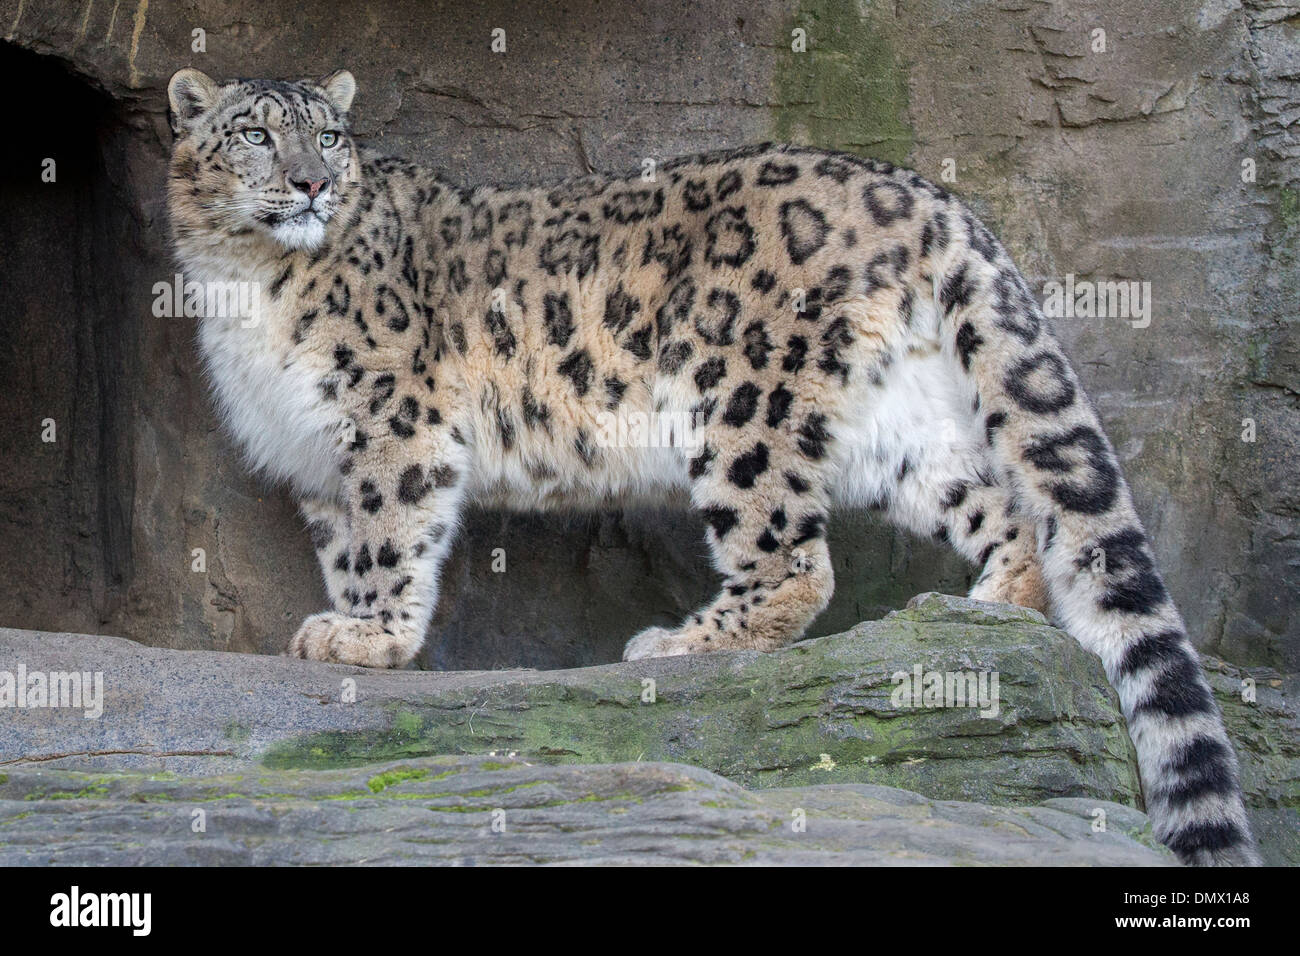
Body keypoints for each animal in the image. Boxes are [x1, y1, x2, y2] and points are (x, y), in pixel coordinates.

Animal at [165, 68, 1258, 865]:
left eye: (330, 138)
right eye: (256, 134)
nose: (312, 183)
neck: (244, 281)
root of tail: (924, 192)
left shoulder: (394, 419)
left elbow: (392, 531)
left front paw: (372, 639)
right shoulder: (313, 451)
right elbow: (348, 545)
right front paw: (347, 625)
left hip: (739, 399)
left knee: (792, 557)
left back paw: (680, 644)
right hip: (897, 430)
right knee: (1001, 502)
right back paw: (986, 605)